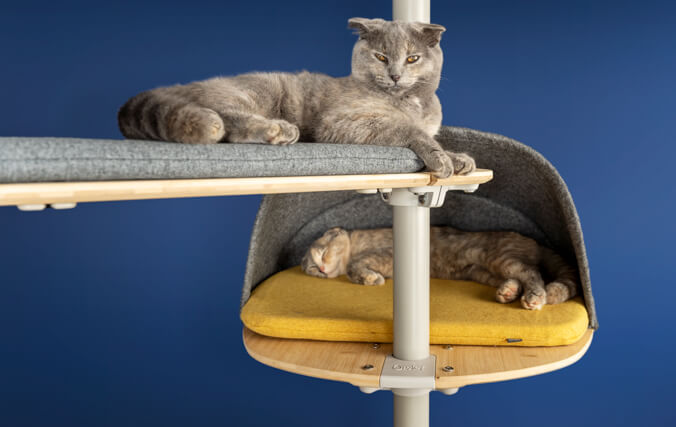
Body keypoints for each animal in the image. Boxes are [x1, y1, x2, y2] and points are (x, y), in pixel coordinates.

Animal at [117, 17, 476, 178]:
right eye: (381, 57)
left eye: (413, 58)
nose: (396, 75)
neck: (413, 103)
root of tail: (184, 85)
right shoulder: (345, 122)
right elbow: (408, 130)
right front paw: (443, 159)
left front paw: (460, 158)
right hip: (251, 92)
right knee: (226, 119)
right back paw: (278, 130)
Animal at [304, 227, 580, 310]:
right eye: (313, 269)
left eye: (323, 253)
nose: (322, 268)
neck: (356, 242)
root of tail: (536, 243)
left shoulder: (385, 252)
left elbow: (355, 266)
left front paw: (372, 278)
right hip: (486, 271)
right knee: (522, 277)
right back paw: (508, 292)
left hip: (501, 258)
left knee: (534, 275)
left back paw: (535, 297)